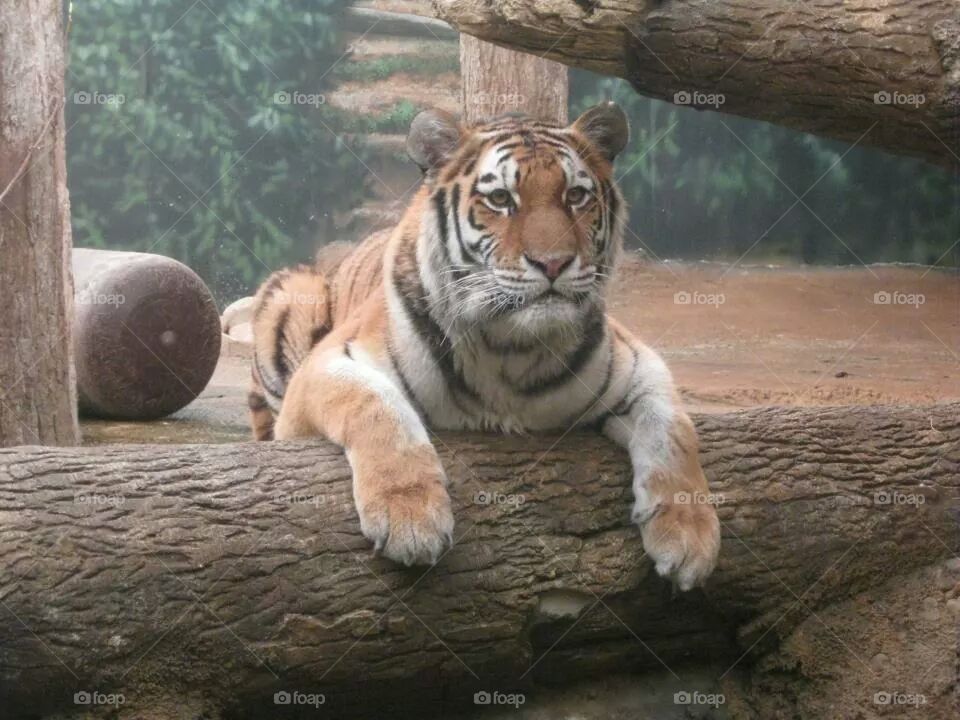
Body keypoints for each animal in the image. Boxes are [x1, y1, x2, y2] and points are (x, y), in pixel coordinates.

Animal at [248, 103, 720, 590]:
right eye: (500, 199)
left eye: (575, 195)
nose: (553, 263)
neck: (509, 347)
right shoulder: (327, 366)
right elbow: (376, 404)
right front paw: (410, 518)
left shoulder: (636, 362)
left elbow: (673, 432)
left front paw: (689, 539)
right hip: (292, 294)